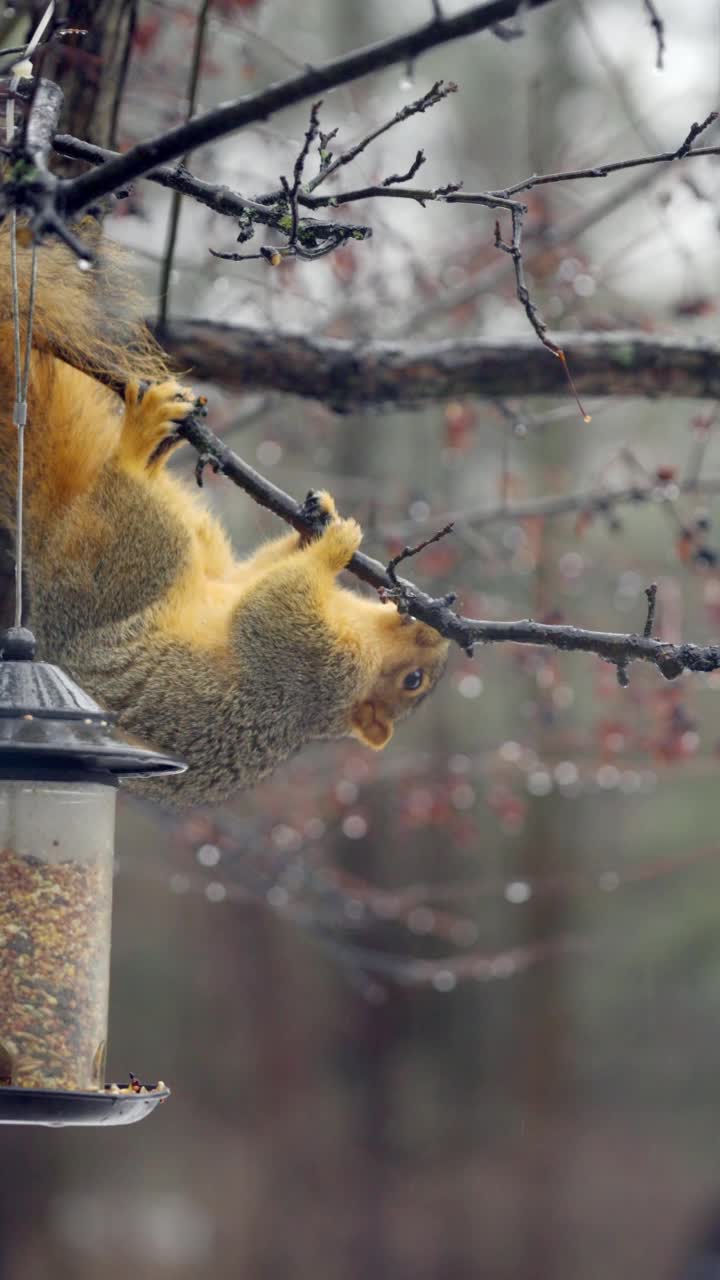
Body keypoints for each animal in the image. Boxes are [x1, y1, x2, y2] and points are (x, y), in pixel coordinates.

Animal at [0, 218, 445, 798]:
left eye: (414, 682)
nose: (435, 635)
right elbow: (254, 579)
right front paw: (316, 525)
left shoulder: (315, 671)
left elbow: (270, 611)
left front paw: (332, 545)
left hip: (132, 553)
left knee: (124, 502)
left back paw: (135, 444)